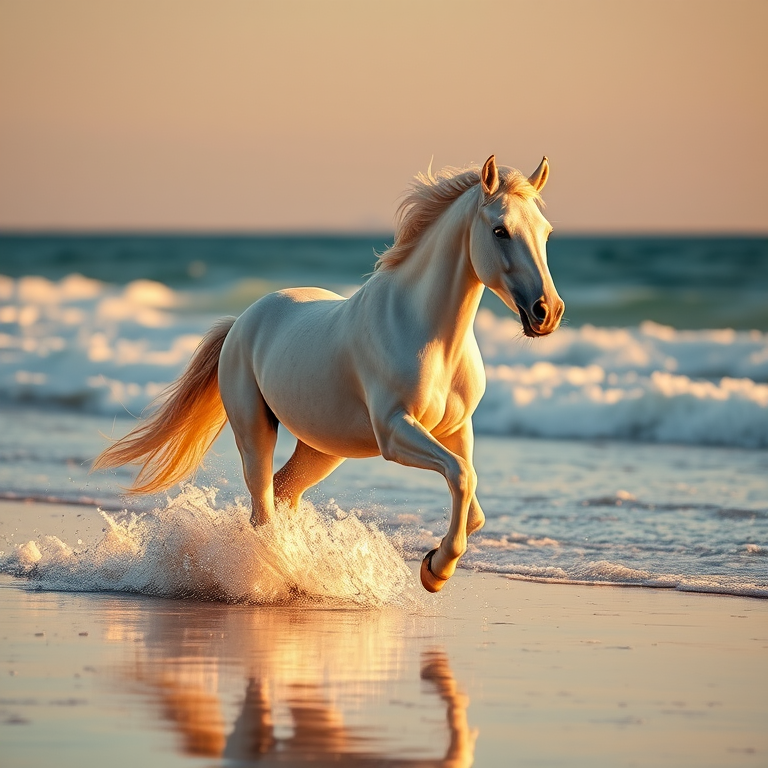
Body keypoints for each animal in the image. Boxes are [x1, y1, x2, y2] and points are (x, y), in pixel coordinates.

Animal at [93, 155, 564, 593]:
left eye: (546, 232)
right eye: (500, 230)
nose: (548, 312)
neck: (424, 331)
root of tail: (242, 319)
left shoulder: (456, 429)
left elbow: (473, 502)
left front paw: (433, 562)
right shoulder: (395, 431)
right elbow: (463, 477)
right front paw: (436, 571)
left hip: (322, 449)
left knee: (283, 492)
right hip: (255, 430)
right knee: (263, 504)